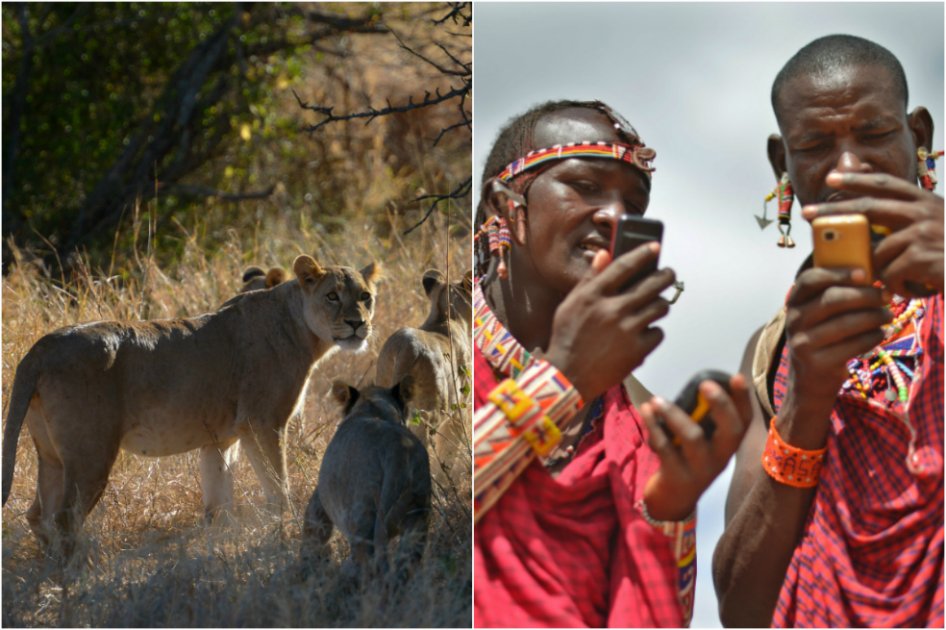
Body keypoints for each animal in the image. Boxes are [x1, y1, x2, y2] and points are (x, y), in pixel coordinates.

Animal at [1, 255, 380, 554]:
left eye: (365, 297)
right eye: (332, 296)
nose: (358, 323)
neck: (300, 327)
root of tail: (41, 348)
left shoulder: (220, 439)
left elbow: (218, 504)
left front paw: (219, 546)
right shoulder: (263, 423)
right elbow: (277, 487)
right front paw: (283, 534)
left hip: (52, 455)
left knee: (39, 514)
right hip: (90, 453)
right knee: (66, 517)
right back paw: (77, 571)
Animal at [301, 378, 430, 578]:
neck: (374, 407)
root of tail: (396, 451)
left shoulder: (319, 498)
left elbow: (312, 531)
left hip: (361, 516)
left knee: (369, 565)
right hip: (418, 517)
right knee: (407, 563)